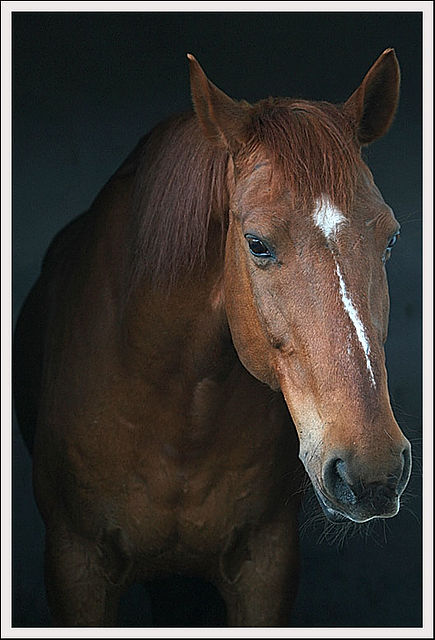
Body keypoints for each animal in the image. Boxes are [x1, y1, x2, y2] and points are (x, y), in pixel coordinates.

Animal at [12, 48, 412, 624]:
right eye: (257, 243)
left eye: (391, 237)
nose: (373, 467)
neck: (180, 412)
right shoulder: (76, 562)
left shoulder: (266, 566)